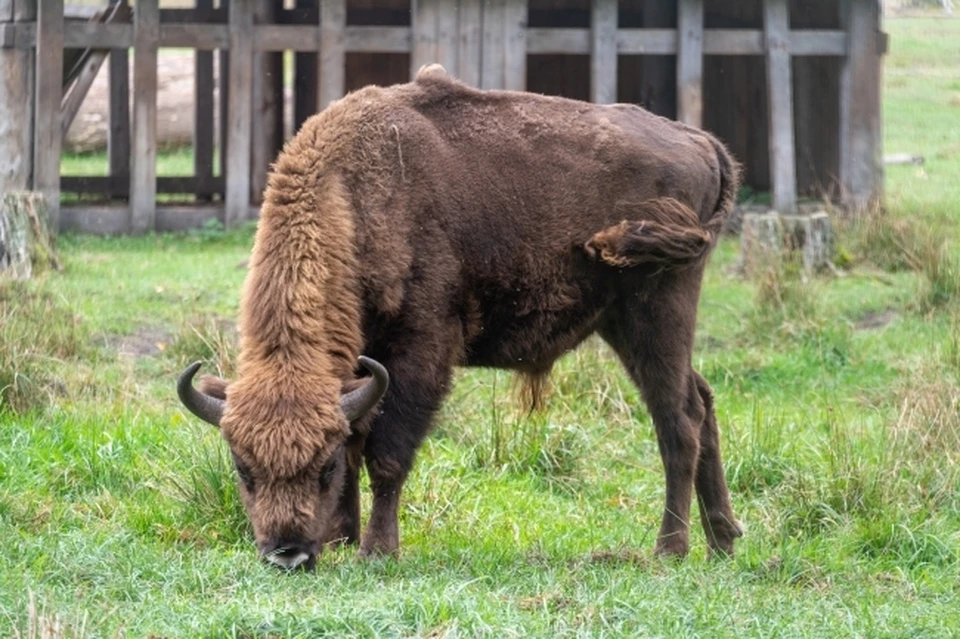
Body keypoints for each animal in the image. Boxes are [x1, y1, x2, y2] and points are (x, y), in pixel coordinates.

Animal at [182, 65, 752, 572]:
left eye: (321, 468)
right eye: (243, 470)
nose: (288, 554)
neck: (355, 196)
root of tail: (701, 142)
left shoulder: (420, 353)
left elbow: (386, 454)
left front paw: (376, 550)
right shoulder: (362, 371)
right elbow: (358, 440)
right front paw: (343, 539)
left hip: (656, 310)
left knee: (678, 419)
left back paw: (670, 550)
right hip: (623, 323)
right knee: (701, 398)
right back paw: (722, 541)